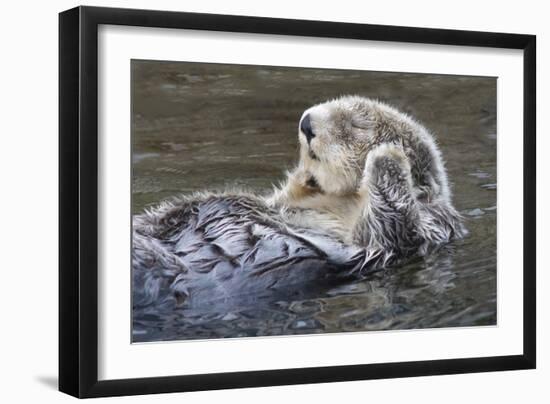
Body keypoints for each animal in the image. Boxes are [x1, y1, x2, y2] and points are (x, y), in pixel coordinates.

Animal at [133, 96, 466, 308]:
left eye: (356, 125)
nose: (307, 123)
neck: (340, 201)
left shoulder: (421, 230)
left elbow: (395, 223)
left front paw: (388, 156)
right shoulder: (282, 201)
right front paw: (305, 175)